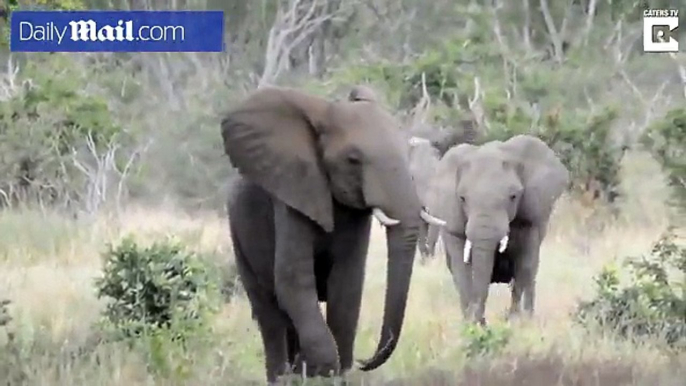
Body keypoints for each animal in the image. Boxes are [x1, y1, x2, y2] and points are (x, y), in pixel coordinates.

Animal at [220, 84, 446, 382]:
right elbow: (293, 279)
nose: (364, 361)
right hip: (238, 234)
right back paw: (282, 376)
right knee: (269, 313)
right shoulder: (293, 193)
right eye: (353, 160)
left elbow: (347, 283)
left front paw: (334, 373)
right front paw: (321, 371)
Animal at [424, 134, 568, 324]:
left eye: (513, 196)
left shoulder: (532, 215)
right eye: (462, 198)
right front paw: (469, 324)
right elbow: (461, 268)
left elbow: (525, 264)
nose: (482, 323)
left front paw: (517, 322)